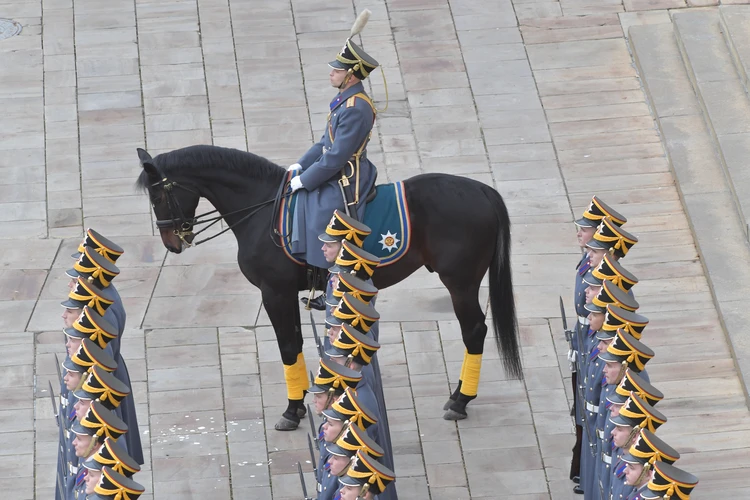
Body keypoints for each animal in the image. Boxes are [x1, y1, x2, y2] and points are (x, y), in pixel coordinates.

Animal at [137, 146, 524, 428]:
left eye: (158, 197)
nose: (172, 242)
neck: (262, 210)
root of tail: (482, 190)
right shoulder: (283, 294)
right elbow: (294, 344)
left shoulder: (274, 291)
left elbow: (288, 347)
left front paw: (292, 410)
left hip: (460, 282)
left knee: (474, 330)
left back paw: (460, 400)